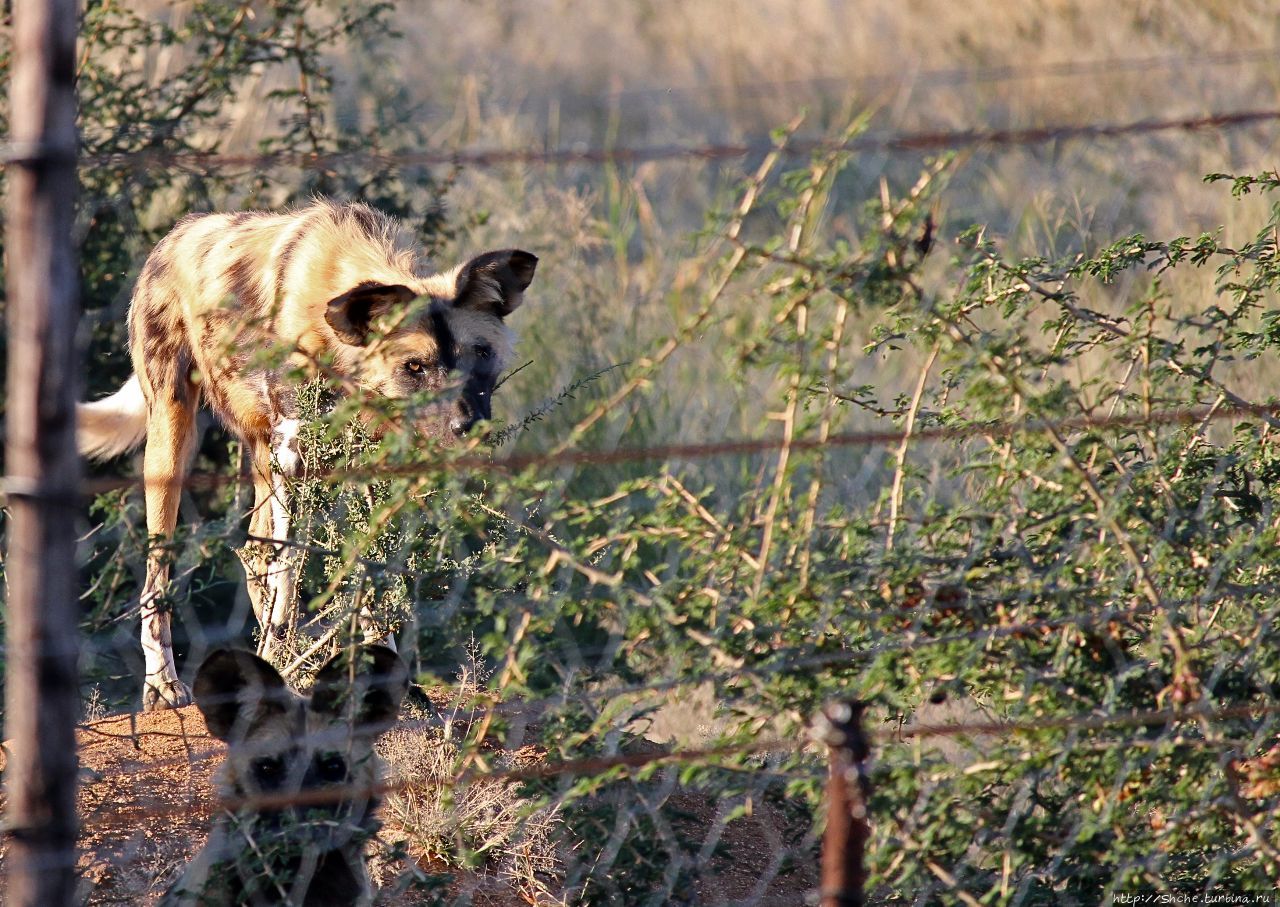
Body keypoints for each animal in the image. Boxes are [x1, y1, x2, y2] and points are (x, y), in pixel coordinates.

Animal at [78, 198, 540, 706]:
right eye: (414, 367)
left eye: (480, 354)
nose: (467, 427)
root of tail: (174, 235)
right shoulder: (294, 452)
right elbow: (290, 574)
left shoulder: (365, 462)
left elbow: (367, 570)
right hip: (173, 438)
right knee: (161, 574)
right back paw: (166, 682)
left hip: (260, 455)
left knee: (254, 552)